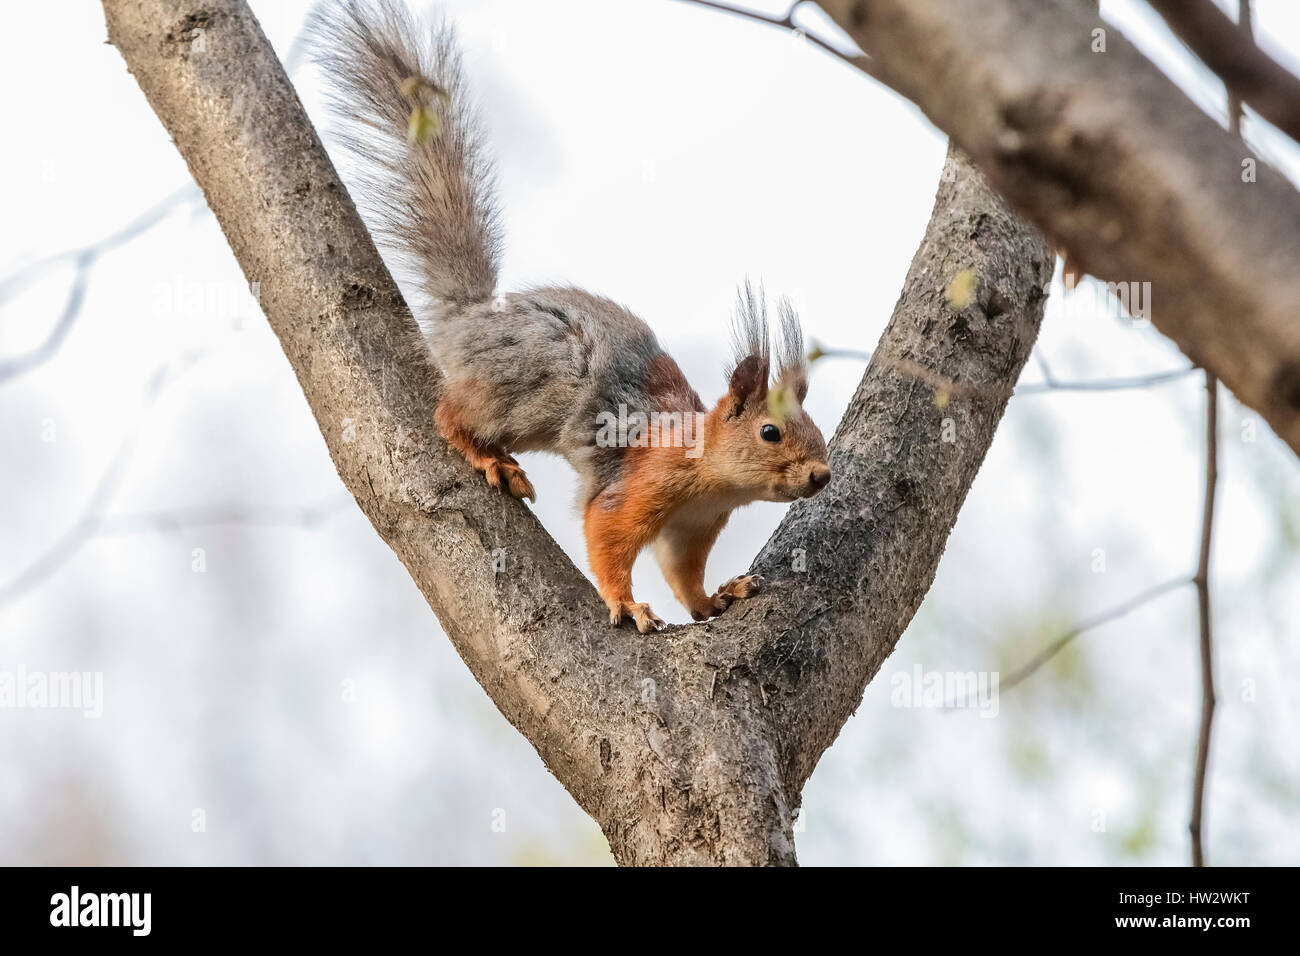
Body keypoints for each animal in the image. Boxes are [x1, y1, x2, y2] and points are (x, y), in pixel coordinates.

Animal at [309, 1, 826, 634]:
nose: (822, 475)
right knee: (450, 415)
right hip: (524, 388)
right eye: (769, 431)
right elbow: (606, 534)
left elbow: (683, 574)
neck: (710, 476)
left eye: (815, 426)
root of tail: (470, 322)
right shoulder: (636, 485)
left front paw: (715, 600)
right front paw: (627, 603)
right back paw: (491, 459)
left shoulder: (692, 527)